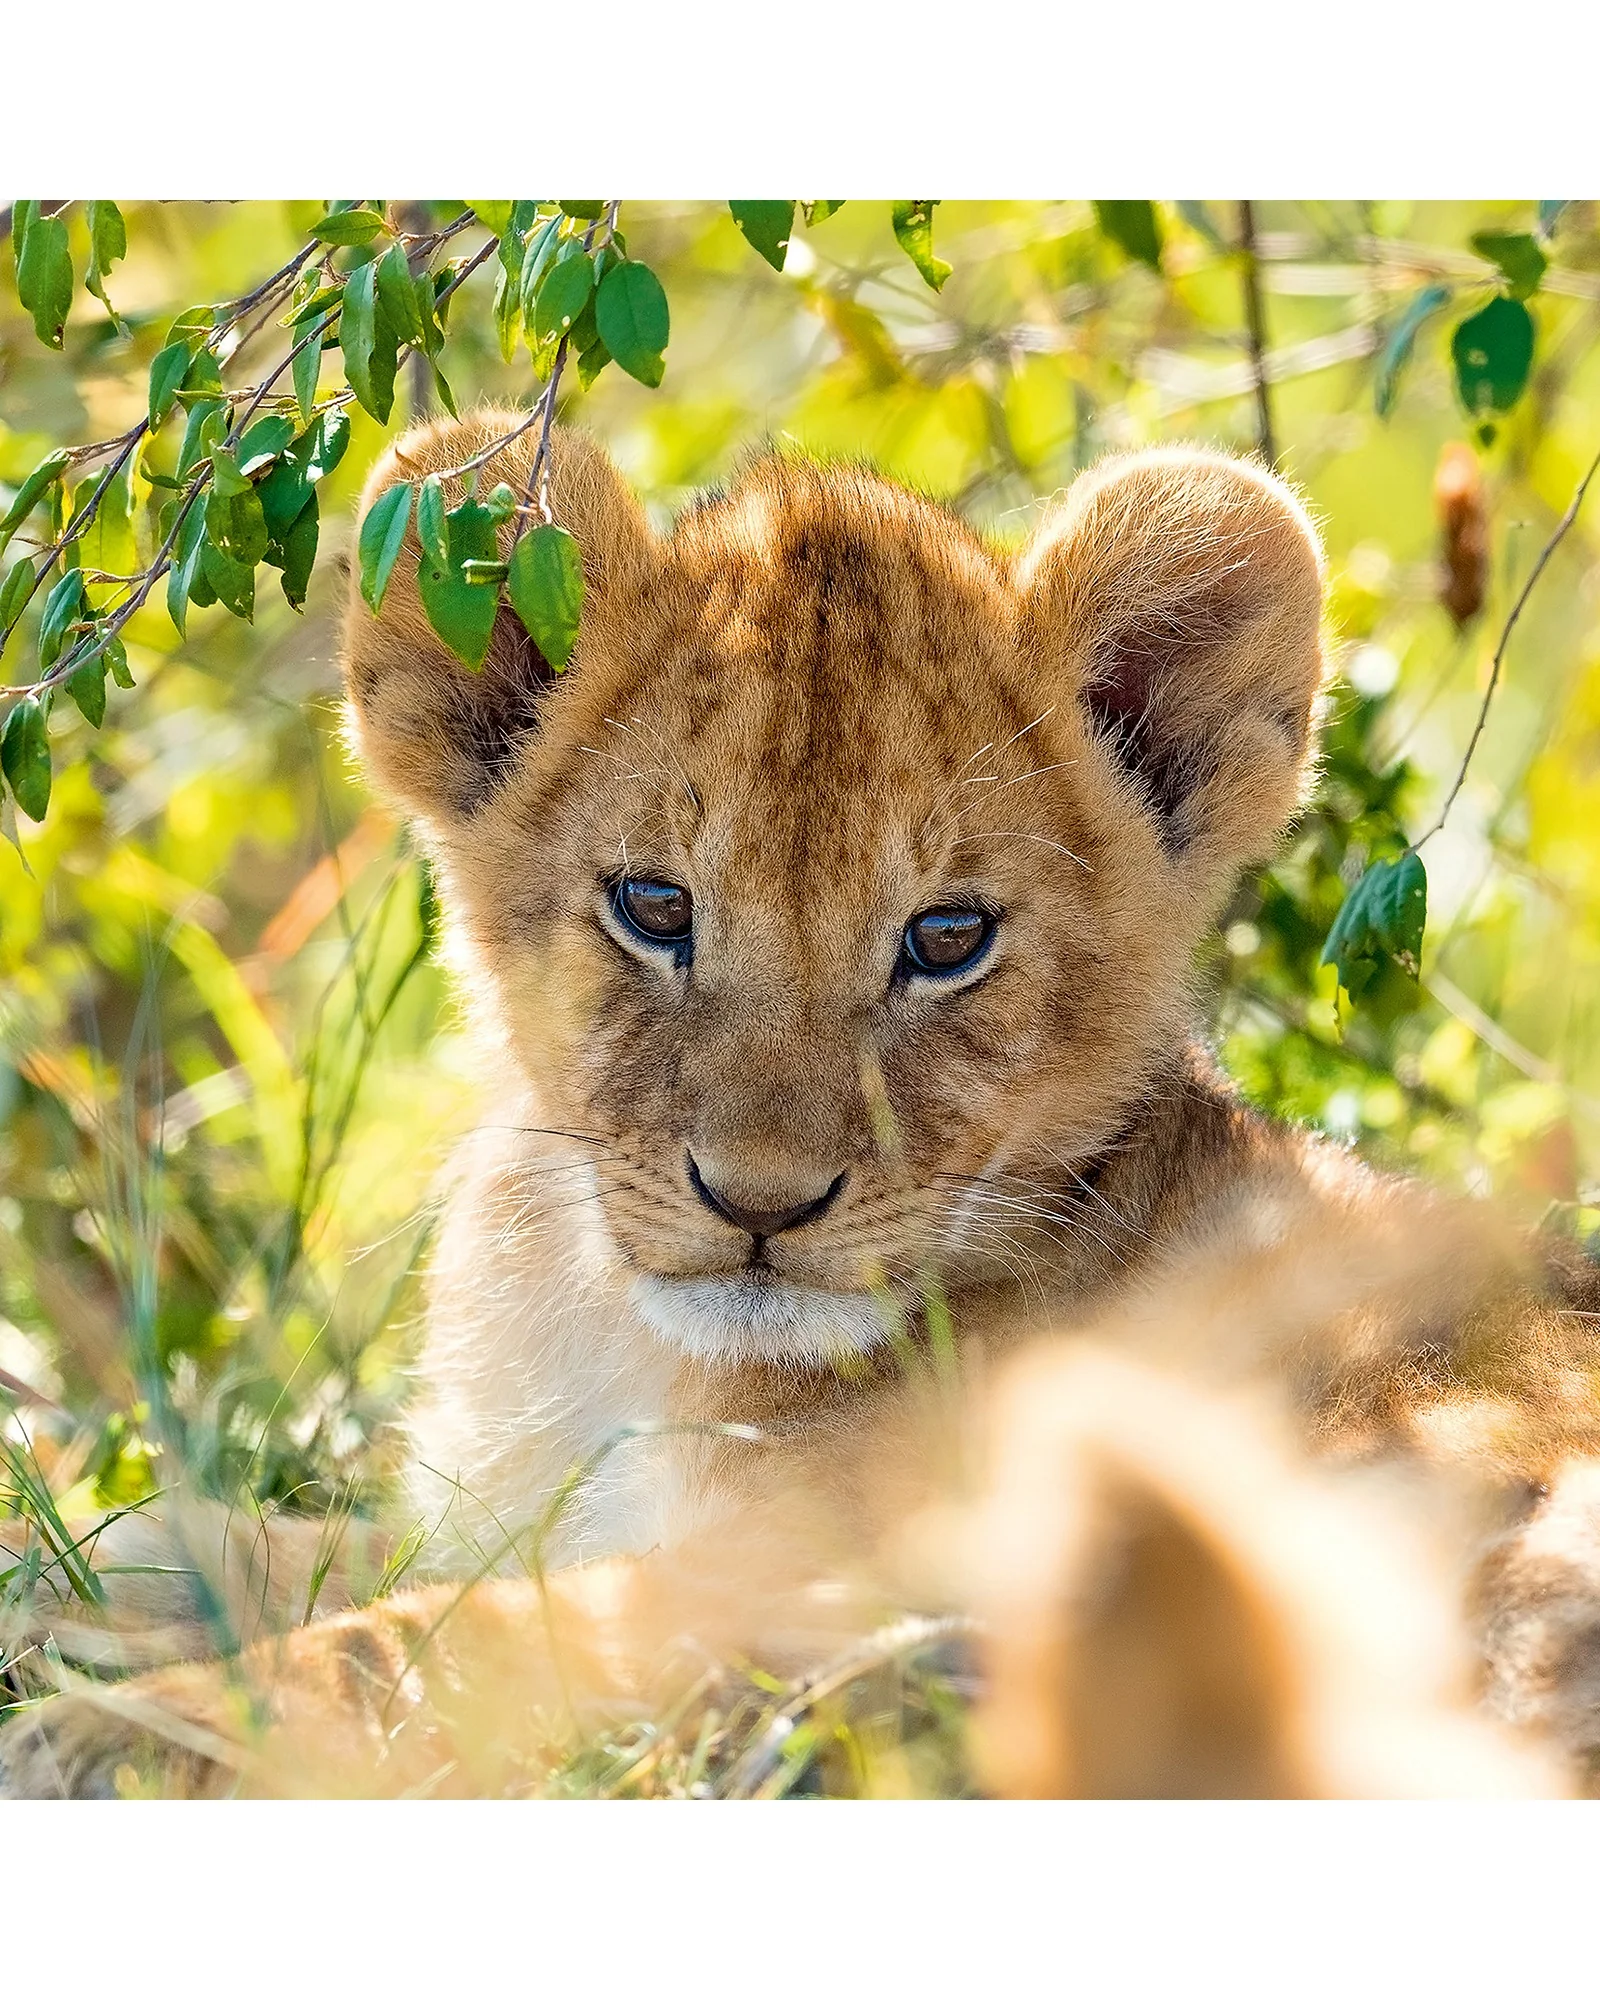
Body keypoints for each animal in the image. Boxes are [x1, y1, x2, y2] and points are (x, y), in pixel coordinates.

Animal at [2, 412, 1597, 1797]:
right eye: (655, 907)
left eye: (947, 937)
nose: (759, 1205)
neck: (603, 1332)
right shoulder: (498, 1512)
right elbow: (243, 1545)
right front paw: (68, 1575)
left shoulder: (795, 1569)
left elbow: (433, 1646)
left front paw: (109, 1730)